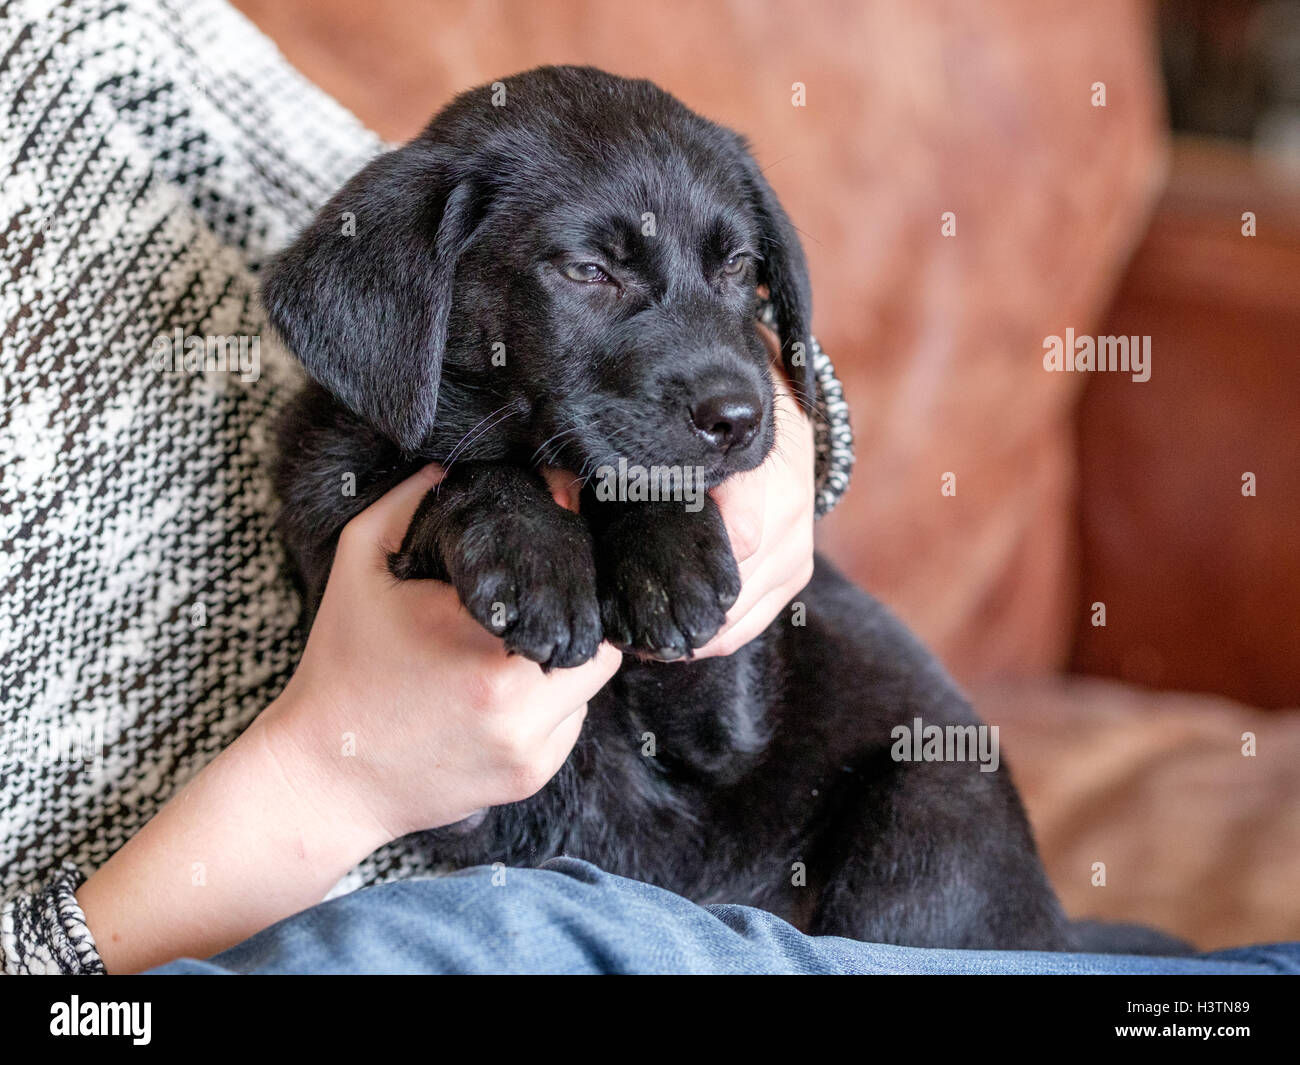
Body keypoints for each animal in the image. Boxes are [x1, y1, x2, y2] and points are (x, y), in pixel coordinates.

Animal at [261, 66, 1066, 951]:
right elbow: (470, 470)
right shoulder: (458, 799)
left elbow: (643, 494)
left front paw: (669, 559)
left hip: (931, 804)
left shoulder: (725, 716)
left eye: (740, 265)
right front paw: (535, 556)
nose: (741, 416)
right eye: (587, 271)